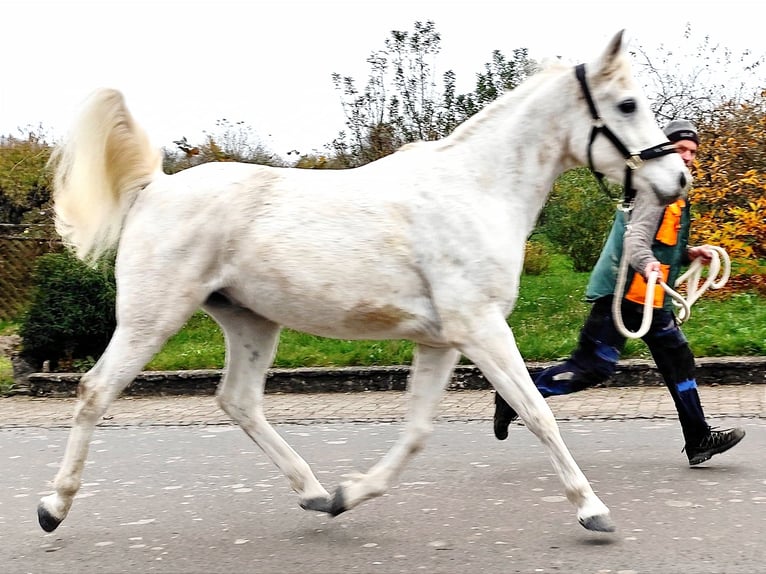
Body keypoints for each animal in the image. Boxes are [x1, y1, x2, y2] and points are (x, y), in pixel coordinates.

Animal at [40, 30, 688, 536]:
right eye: (627, 104)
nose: (676, 179)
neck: (478, 189)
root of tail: (157, 186)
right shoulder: (480, 328)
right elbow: (536, 411)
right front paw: (592, 509)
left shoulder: (441, 341)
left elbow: (419, 430)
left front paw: (349, 495)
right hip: (152, 317)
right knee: (95, 390)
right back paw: (53, 506)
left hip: (251, 321)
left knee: (239, 401)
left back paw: (314, 492)